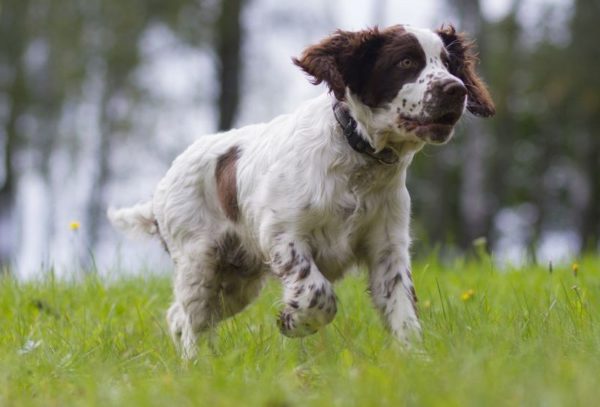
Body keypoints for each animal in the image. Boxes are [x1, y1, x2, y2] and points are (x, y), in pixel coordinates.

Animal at [110, 23, 494, 358]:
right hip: (199, 262)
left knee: (180, 316)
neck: (357, 157)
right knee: (193, 319)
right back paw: (195, 364)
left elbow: (402, 310)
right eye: (406, 62)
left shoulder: (388, 248)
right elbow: (317, 292)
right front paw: (294, 321)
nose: (456, 90)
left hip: (238, 280)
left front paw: (414, 360)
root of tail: (159, 191)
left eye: (449, 64)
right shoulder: (283, 235)